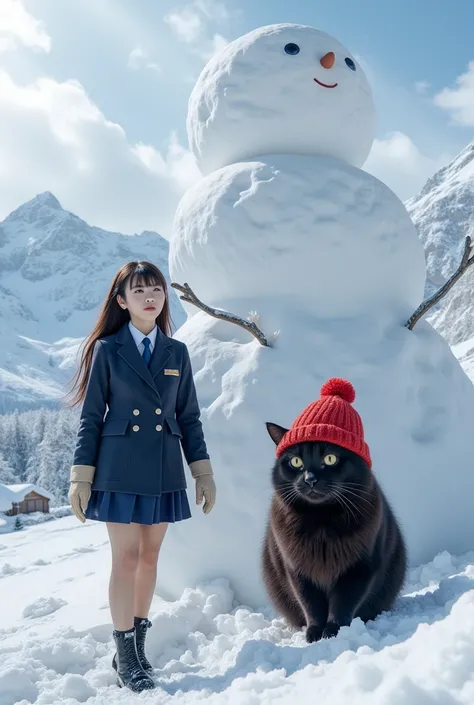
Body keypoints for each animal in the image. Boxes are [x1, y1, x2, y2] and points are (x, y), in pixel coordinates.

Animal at [262, 396, 406, 640]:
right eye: (296, 462)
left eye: (330, 458)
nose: (310, 479)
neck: (321, 520)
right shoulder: (297, 569)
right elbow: (311, 603)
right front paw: (314, 632)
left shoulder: (360, 566)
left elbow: (343, 602)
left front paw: (333, 630)